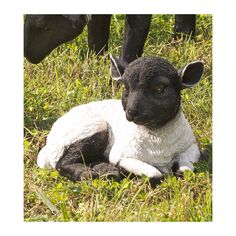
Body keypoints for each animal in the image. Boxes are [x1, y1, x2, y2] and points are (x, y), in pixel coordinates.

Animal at [37, 54, 205, 183]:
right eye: (126, 88)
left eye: (159, 89)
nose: (131, 112)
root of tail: (48, 145)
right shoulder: (121, 155)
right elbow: (155, 175)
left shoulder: (191, 147)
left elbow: (186, 169)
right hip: (89, 129)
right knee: (62, 163)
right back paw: (89, 173)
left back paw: (104, 170)